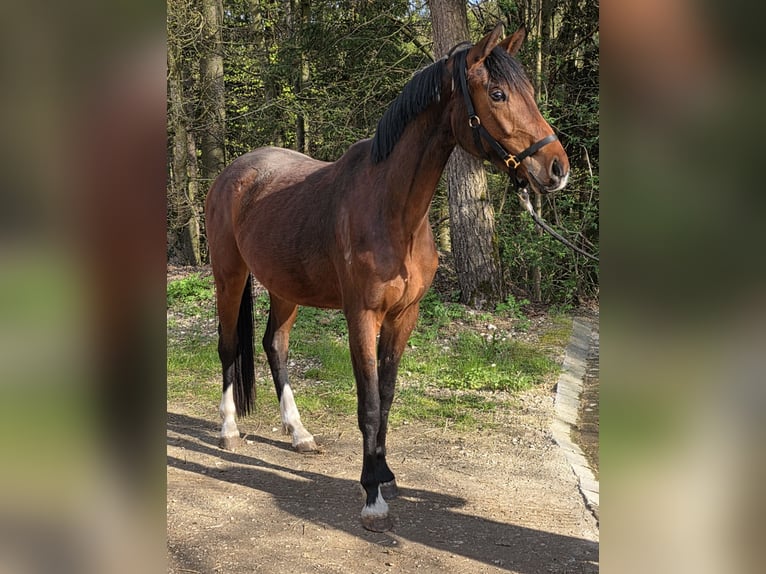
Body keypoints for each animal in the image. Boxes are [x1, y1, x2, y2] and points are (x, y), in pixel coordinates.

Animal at [204, 24, 569, 532]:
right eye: (497, 94)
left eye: (530, 92)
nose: (556, 168)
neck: (393, 211)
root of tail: (232, 174)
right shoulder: (362, 316)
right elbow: (370, 403)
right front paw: (372, 496)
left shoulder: (403, 316)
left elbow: (389, 395)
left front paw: (386, 474)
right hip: (230, 273)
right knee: (226, 347)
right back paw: (229, 428)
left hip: (285, 287)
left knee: (274, 346)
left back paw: (298, 432)